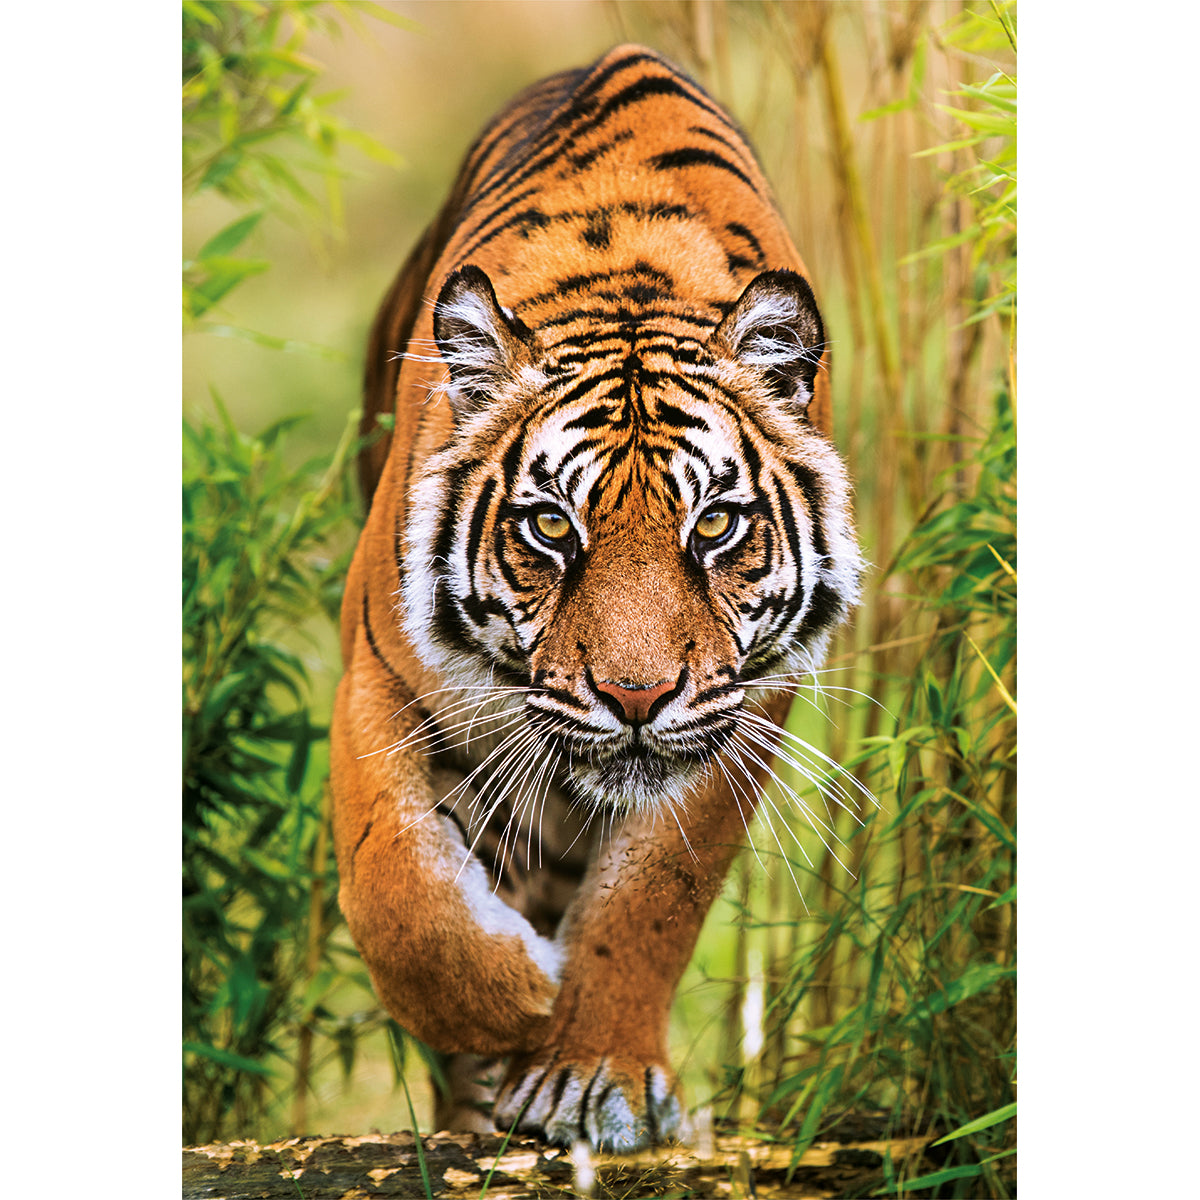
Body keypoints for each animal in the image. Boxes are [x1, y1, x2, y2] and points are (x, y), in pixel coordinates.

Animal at [330, 43, 863, 1153]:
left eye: (715, 526)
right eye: (549, 528)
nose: (634, 698)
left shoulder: (741, 710)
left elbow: (652, 897)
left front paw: (589, 1075)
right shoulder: (377, 673)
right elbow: (395, 882)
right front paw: (508, 1000)